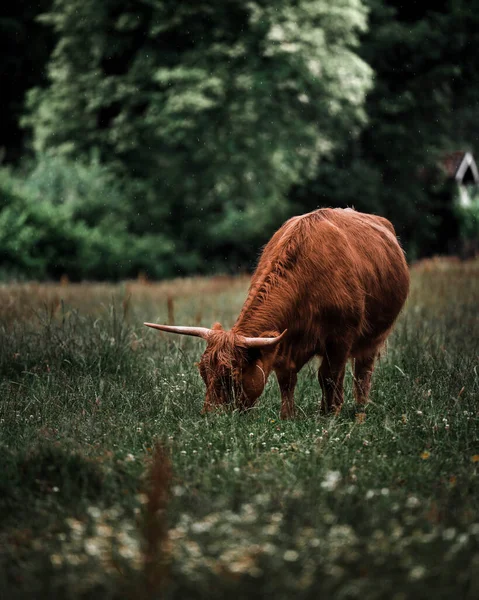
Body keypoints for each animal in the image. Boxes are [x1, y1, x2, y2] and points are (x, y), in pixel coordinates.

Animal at [144, 209, 410, 420]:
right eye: (203, 373)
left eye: (231, 376)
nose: (210, 417)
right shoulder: (284, 346)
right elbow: (287, 381)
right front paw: (287, 416)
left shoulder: (339, 340)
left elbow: (330, 376)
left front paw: (330, 414)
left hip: (373, 338)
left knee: (363, 372)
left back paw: (360, 409)